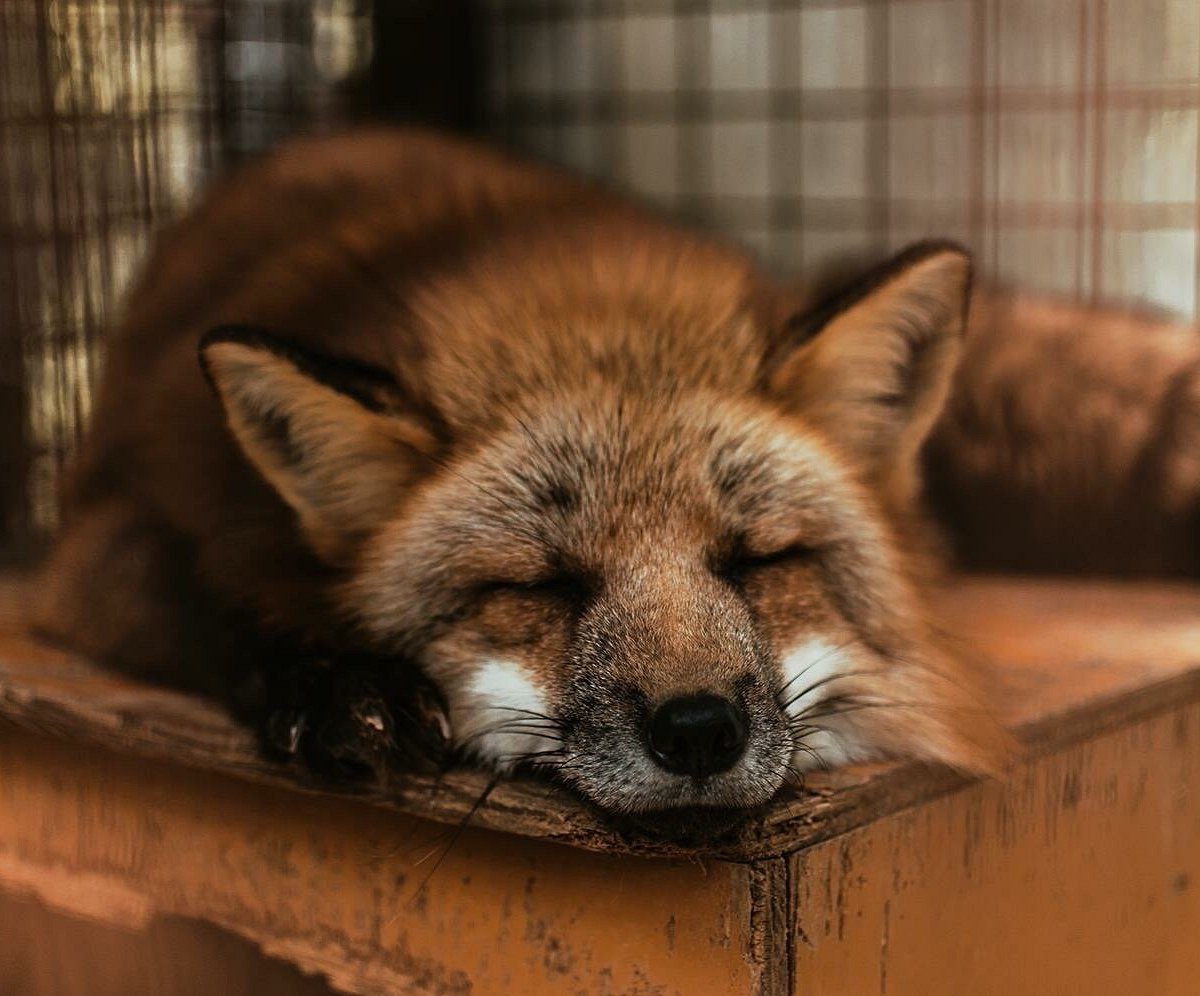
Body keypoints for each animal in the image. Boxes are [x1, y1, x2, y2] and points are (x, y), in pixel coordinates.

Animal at [28, 126, 1200, 844]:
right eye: (541, 587)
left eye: (761, 560)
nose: (698, 729)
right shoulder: (105, 534)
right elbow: (215, 598)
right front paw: (337, 684)